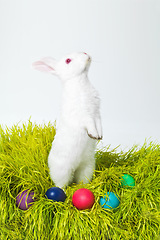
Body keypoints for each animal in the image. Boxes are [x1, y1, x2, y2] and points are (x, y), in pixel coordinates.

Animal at [32, 52, 102, 188]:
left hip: (88, 167)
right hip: (63, 171)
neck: (80, 81)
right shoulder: (85, 115)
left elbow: (99, 124)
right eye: (68, 60)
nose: (86, 53)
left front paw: (100, 136)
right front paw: (94, 135)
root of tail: (76, 166)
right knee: (60, 184)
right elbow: (90, 124)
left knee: (82, 179)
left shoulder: (97, 113)